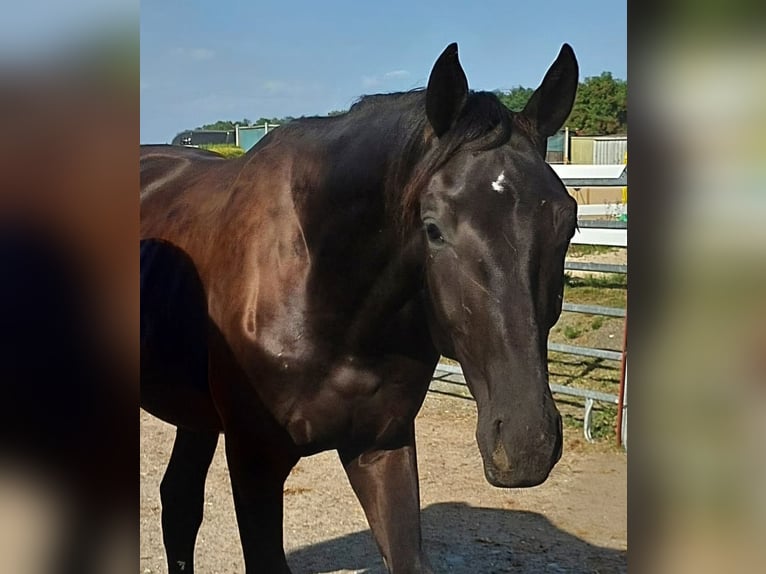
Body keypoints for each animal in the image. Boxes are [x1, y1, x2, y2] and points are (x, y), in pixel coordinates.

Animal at [140, 42, 579, 573]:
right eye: (433, 228)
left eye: (568, 223)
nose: (526, 442)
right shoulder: (254, 459)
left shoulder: (381, 447)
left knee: (179, 503)